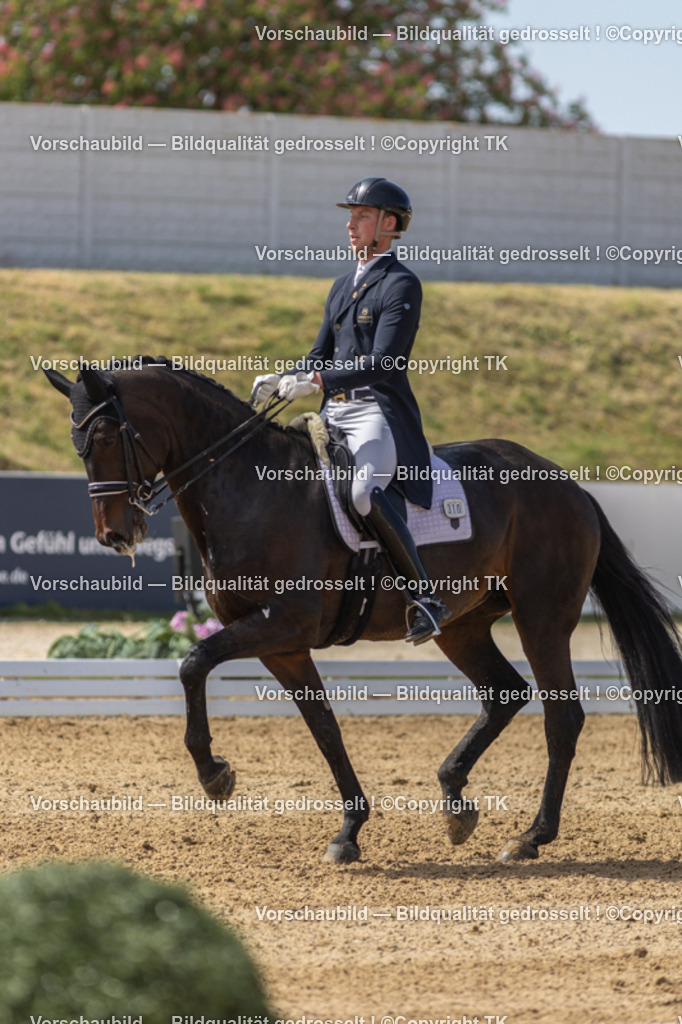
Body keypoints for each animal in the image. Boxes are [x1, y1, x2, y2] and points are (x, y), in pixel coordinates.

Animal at [45, 358, 682, 865]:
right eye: (78, 445)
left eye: (107, 435)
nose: (114, 536)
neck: (249, 488)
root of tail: (567, 483)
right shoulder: (283, 644)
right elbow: (324, 727)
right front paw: (349, 831)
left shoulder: (283, 623)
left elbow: (192, 663)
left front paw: (214, 775)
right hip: (462, 624)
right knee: (504, 693)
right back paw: (455, 800)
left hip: (541, 617)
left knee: (562, 716)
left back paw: (531, 837)